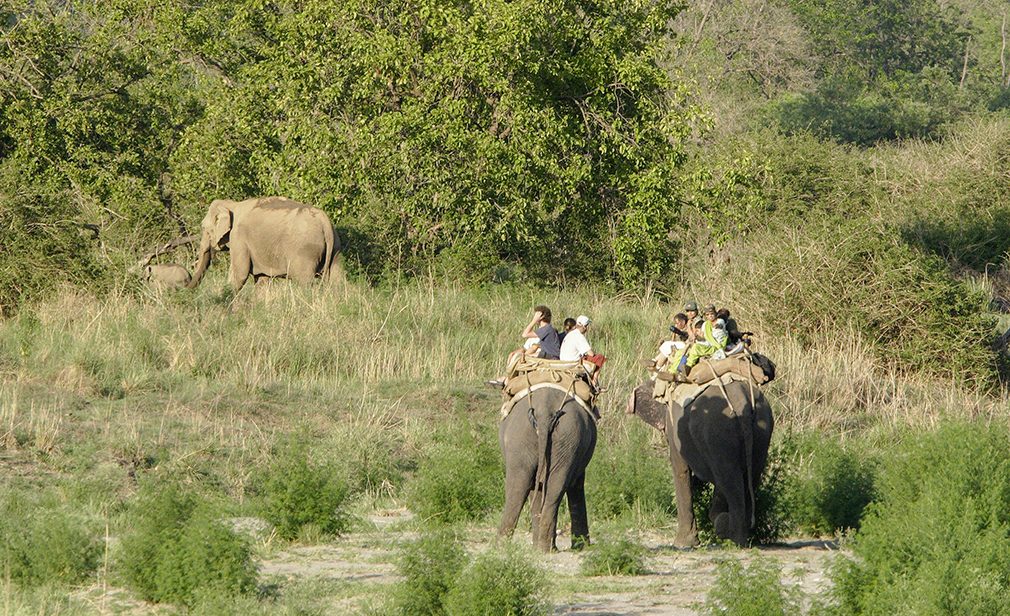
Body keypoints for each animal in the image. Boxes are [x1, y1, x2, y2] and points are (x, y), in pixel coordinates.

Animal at [189, 196, 343, 292]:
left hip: (305, 252)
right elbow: (262, 281)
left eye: (203, 228)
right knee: (337, 281)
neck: (233, 204)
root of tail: (325, 222)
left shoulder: (238, 238)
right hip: (336, 249)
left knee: (304, 282)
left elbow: (239, 275)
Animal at [626, 375, 775, 545]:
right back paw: (739, 534)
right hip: (762, 429)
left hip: (717, 431)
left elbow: (680, 471)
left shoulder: (674, 428)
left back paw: (732, 535)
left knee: (729, 478)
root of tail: (742, 397)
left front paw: (682, 544)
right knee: (749, 477)